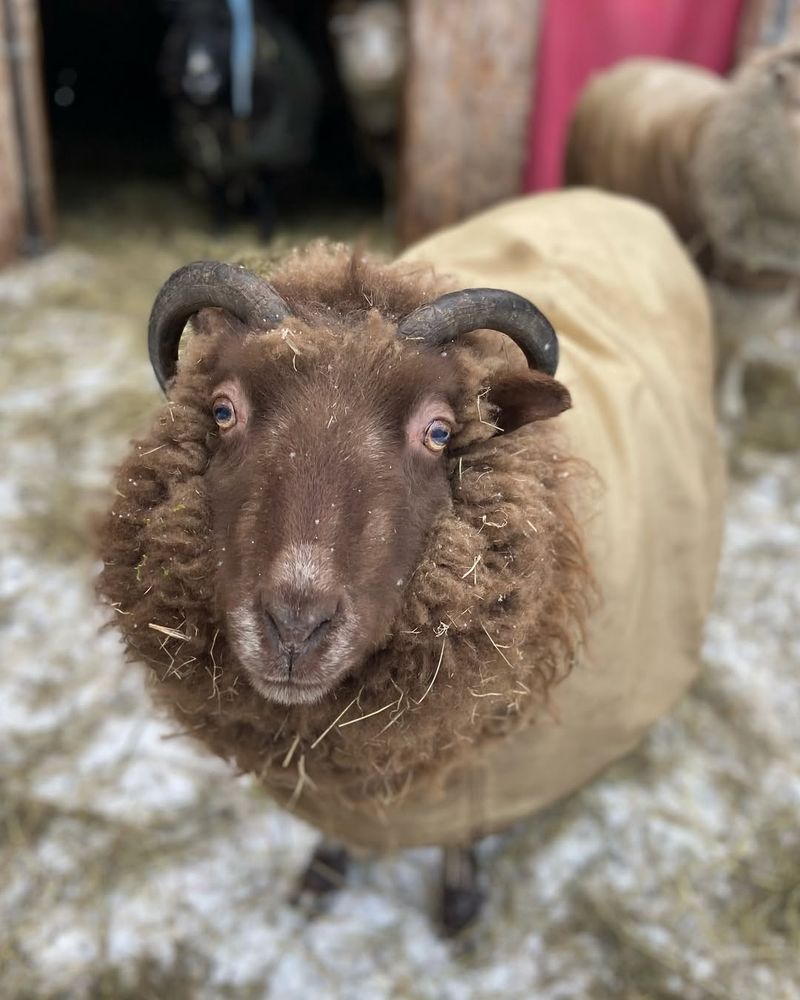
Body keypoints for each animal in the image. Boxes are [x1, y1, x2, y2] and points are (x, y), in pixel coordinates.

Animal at [95, 189, 724, 936]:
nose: (294, 627)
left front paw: (459, 898)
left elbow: (462, 828)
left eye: (440, 432)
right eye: (223, 410)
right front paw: (325, 870)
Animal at [159, 0, 322, 238]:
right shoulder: (208, 147)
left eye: (224, 25)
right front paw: (218, 231)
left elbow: (265, 187)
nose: (199, 78)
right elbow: (216, 186)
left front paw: (265, 235)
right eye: (183, 25)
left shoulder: (269, 144)